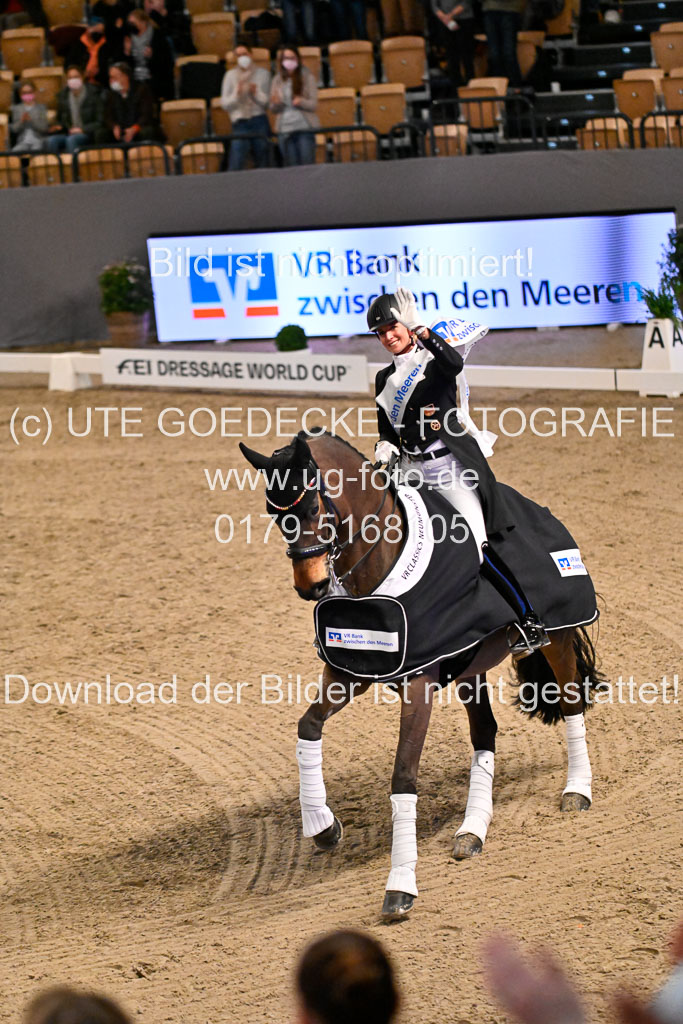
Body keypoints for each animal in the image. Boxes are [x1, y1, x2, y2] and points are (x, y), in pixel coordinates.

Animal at [240, 430, 605, 922]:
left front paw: (399, 887)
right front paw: (323, 826)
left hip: (558, 637)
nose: (310, 586)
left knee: (569, 702)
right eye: (274, 514)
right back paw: (472, 830)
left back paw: (576, 791)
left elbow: (403, 777)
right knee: (484, 732)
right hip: (471, 666)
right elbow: (308, 727)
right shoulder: (351, 669)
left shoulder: (418, 686)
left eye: (313, 506)